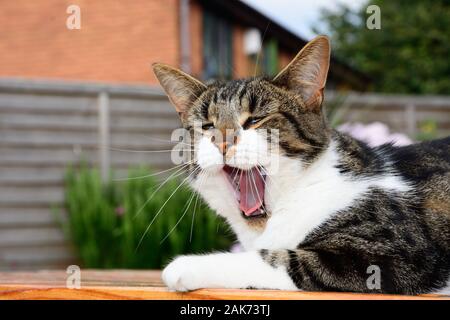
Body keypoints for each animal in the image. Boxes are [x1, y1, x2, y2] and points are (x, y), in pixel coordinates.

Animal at [152, 35, 450, 296]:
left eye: (255, 119)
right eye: (207, 126)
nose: (222, 141)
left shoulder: (394, 255)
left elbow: (280, 259)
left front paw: (186, 264)